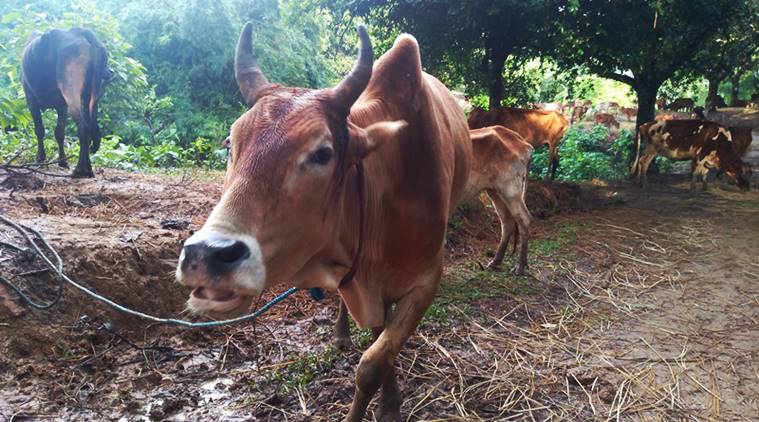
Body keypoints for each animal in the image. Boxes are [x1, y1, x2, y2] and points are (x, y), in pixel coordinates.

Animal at [20, 27, 112, 177]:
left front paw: (40, 158)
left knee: (83, 126)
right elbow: (59, 132)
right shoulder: (62, 106)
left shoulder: (31, 99)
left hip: (71, 92)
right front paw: (62, 161)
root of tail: (81, 32)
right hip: (91, 96)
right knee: (89, 126)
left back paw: (80, 170)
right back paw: (88, 168)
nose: (110, 72)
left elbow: (39, 130)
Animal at [177, 23, 480, 422]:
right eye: (230, 144)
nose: (207, 255)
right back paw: (340, 334)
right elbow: (376, 345)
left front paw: (388, 405)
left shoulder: (427, 280)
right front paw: (388, 398)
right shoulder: (365, 284)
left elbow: (374, 362)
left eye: (323, 154)